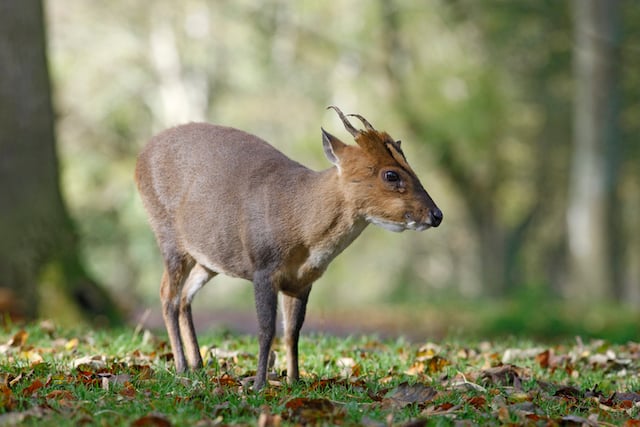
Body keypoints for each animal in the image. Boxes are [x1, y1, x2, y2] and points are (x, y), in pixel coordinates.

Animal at [136, 107, 442, 392]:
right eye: (391, 174)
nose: (436, 215)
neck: (301, 223)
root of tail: (140, 157)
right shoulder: (263, 267)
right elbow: (266, 329)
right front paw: (259, 385)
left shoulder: (302, 281)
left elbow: (293, 330)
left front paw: (294, 380)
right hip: (168, 236)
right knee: (167, 296)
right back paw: (181, 366)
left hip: (208, 259)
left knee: (185, 297)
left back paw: (197, 365)